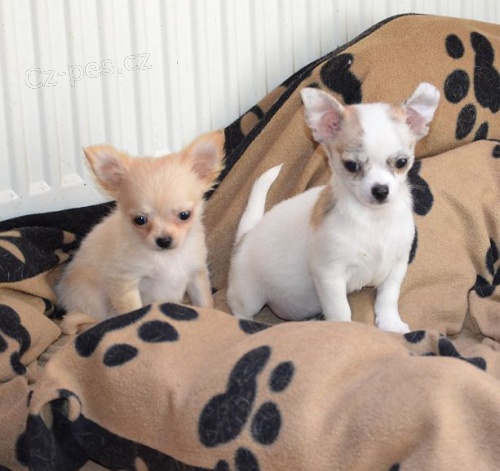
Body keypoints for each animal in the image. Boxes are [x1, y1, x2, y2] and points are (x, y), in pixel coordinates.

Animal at [57, 130, 224, 333]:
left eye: (185, 215)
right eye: (139, 220)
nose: (164, 240)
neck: (166, 258)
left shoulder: (196, 274)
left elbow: (205, 302)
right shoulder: (126, 282)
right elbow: (134, 311)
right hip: (92, 300)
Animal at [227, 83, 440, 333]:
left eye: (401, 162)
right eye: (352, 166)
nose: (380, 190)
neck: (374, 219)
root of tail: (244, 237)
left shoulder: (397, 265)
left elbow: (388, 297)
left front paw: (391, 323)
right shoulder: (330, 275)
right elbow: (340, 310)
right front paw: (343, 330)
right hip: (248, 295)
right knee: (240, 310)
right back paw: (249, 324)